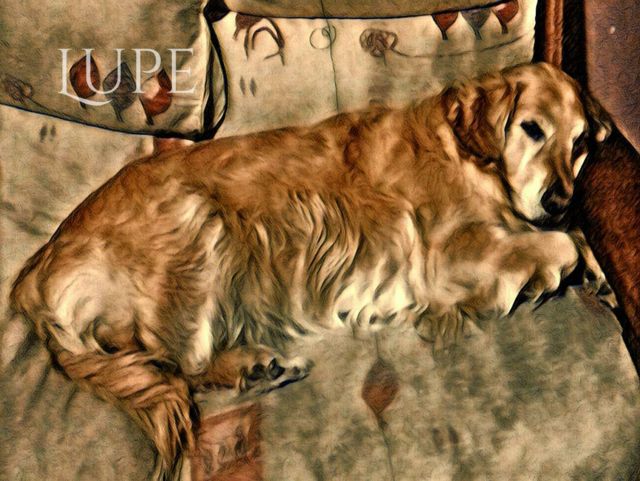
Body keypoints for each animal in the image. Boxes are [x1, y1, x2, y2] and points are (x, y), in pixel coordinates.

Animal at [9, 62, 611, 479]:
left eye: (580, 142)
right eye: (531, 128)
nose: (559, 197)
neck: (467, 154)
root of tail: (34, 271)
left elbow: (571, 236)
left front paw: (596, 272)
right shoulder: (443, 259)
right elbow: (559, 243)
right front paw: (551, 274)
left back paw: (260, 368)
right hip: (199, 223)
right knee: (178, 363)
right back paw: (254, 366)